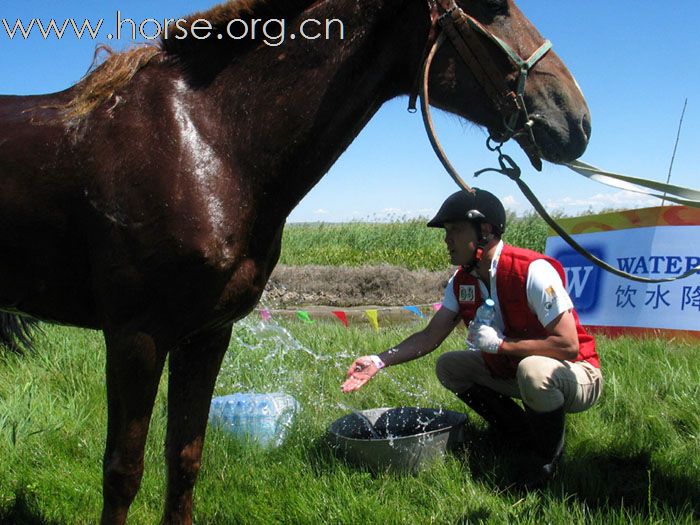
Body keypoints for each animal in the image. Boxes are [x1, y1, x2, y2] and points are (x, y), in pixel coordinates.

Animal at [1, 0, 592, 520]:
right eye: (493, 5)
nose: (576, 120)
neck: (206, 143)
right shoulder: (135, 338)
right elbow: (123, 472)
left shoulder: (205, 335)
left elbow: (185, 458)